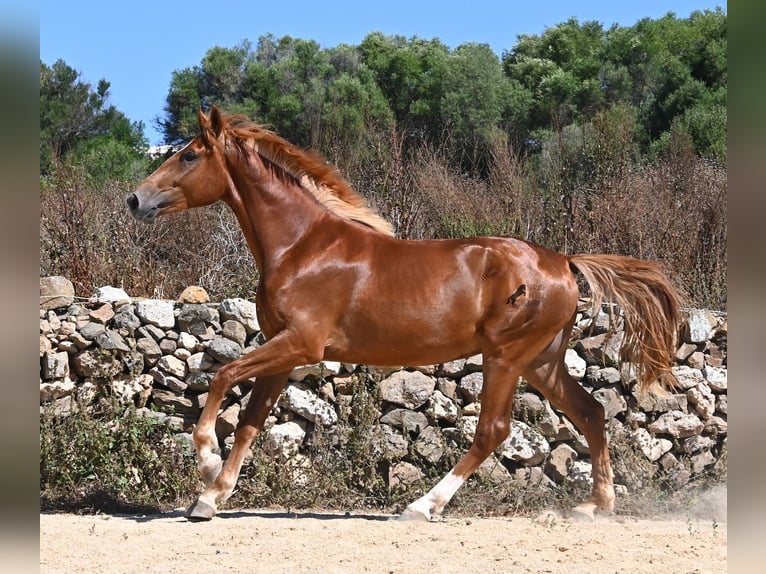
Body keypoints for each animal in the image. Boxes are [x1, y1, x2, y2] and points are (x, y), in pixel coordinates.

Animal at [128, 106, 682, 522]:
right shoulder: (282, 352)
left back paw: (422, 506)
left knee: (493, 431)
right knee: (591, 411)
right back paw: (596, 505)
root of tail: (564, 262)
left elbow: (223, 377)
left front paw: (204, 464)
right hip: (542, 361)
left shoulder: (300, 343)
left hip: (506, 357)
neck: (303, 246)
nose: (135, 199)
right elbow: (250, 420)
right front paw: (212, 496)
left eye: (190, 155)